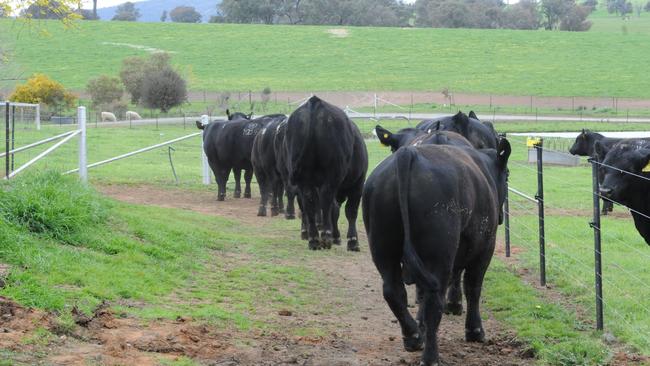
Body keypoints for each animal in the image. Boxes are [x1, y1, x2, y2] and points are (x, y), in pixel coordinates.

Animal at [286, 96, 368, 252]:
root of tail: (315, 102)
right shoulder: (358, 184)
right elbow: (350, 211)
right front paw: (352, 241)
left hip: (304, 179)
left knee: (309, 203)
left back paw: (314, 239)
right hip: (331, 177)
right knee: (326, 200)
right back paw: (326, 237)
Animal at [362, 139, 508, 364]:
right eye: (507, 175)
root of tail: (407, 153)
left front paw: (420, 324)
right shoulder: (485, 248)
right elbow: (473, 287)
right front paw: (475, 331)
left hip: (383, 246)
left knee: (394, 291)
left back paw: (414, 337)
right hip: (439, 253)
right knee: (434, 300)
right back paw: (430, 356)